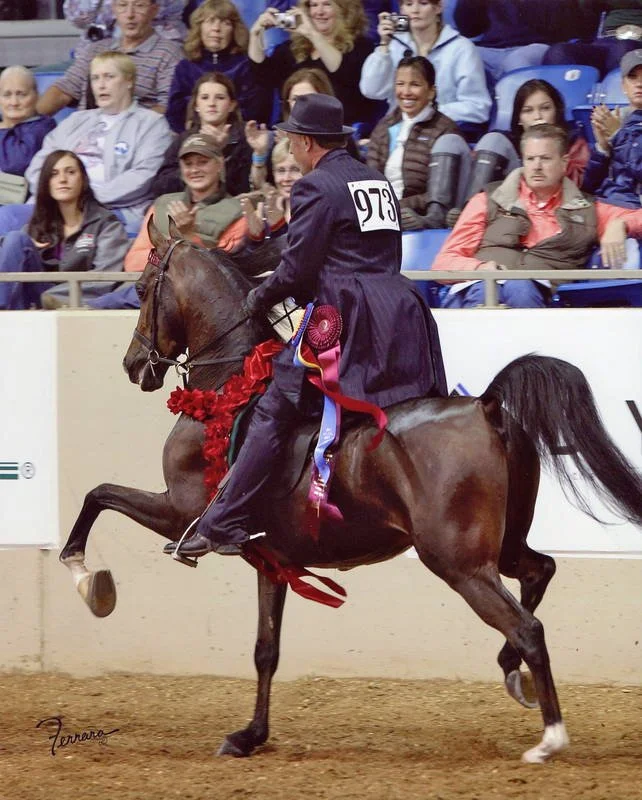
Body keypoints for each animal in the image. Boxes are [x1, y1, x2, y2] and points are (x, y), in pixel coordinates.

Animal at [59, 220, 642, 764]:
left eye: (140, 289)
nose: (134, 366)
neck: (229, 384)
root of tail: (486, 406)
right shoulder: (271, 558)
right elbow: (266, 649)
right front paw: (250, 736)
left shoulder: (180, 511)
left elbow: (98, 495)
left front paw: (89, 580)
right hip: (499, 547)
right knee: (539, 572)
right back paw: (511, 673)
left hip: (459, 562)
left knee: (528, 628)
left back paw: (550, 738)